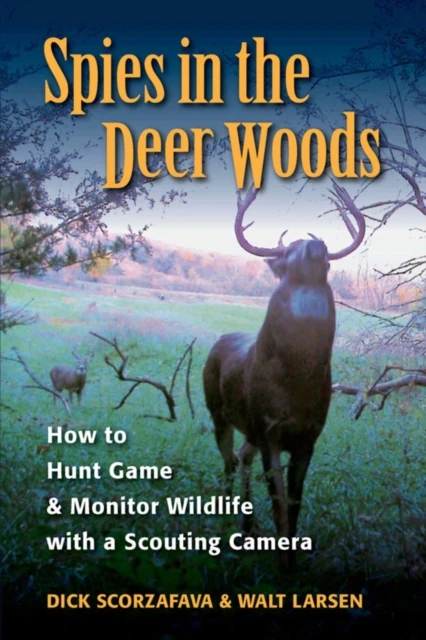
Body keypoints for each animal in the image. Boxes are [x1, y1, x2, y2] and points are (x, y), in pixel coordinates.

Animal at [202, 182, 366, 569]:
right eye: (289, 251)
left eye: (327, 259)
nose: (315, 244)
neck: (296, 382)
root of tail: (220, 339)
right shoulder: (269, 429)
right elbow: (278, 500)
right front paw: (282, 564)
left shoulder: (309, 436)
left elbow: (294, 502)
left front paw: (292, 560)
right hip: (217, 411)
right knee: (228, 460)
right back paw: (226, 522)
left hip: (249, 429)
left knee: (241, 456)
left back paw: (248, 525)